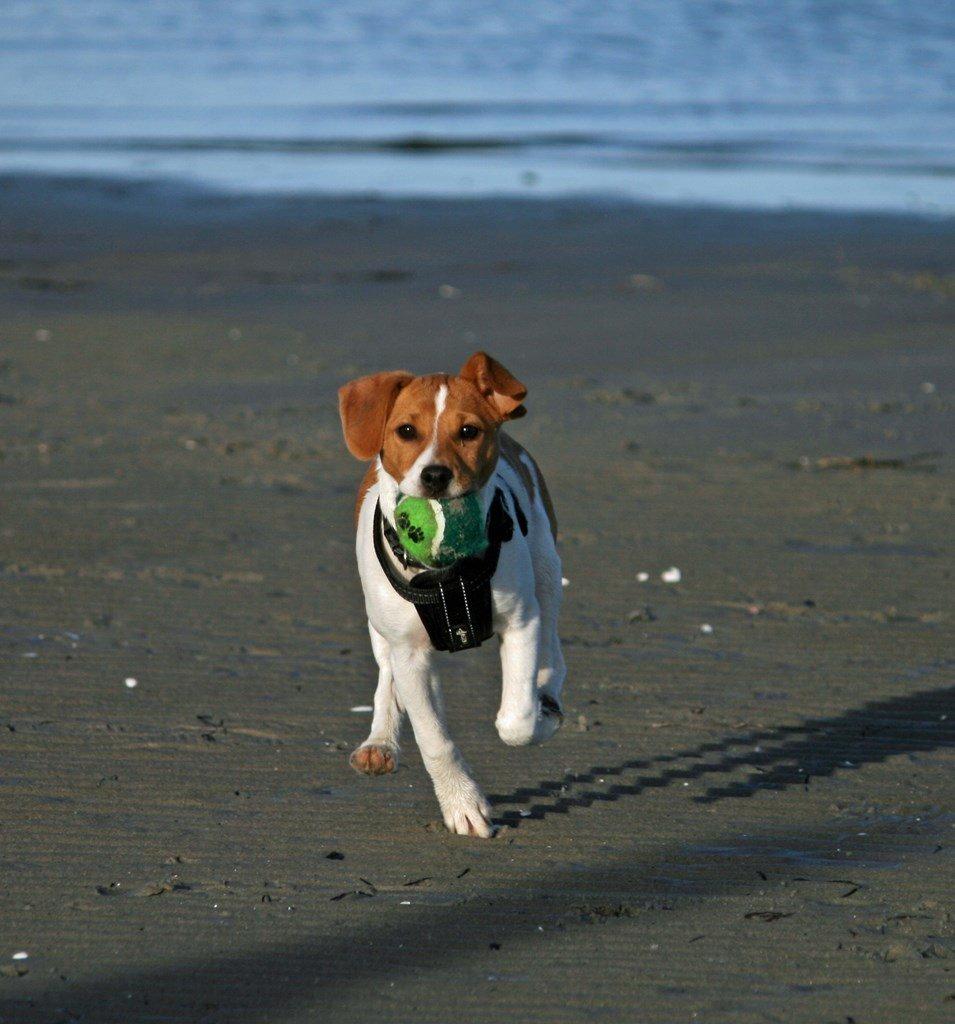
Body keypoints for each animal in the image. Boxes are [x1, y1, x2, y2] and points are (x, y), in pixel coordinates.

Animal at [337, 356, 565, 835]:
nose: (435, 475)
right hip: (378, 622)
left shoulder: (521, 622)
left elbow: (515, 720)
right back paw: (380, 741)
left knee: (554, 646)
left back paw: (548, 692)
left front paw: (538, 715)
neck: (448, 576)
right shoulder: (408, 651)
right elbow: (433, 736)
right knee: (387, 676)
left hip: (547, 570)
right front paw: (462, 803)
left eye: (468, 431)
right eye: (406, 430)